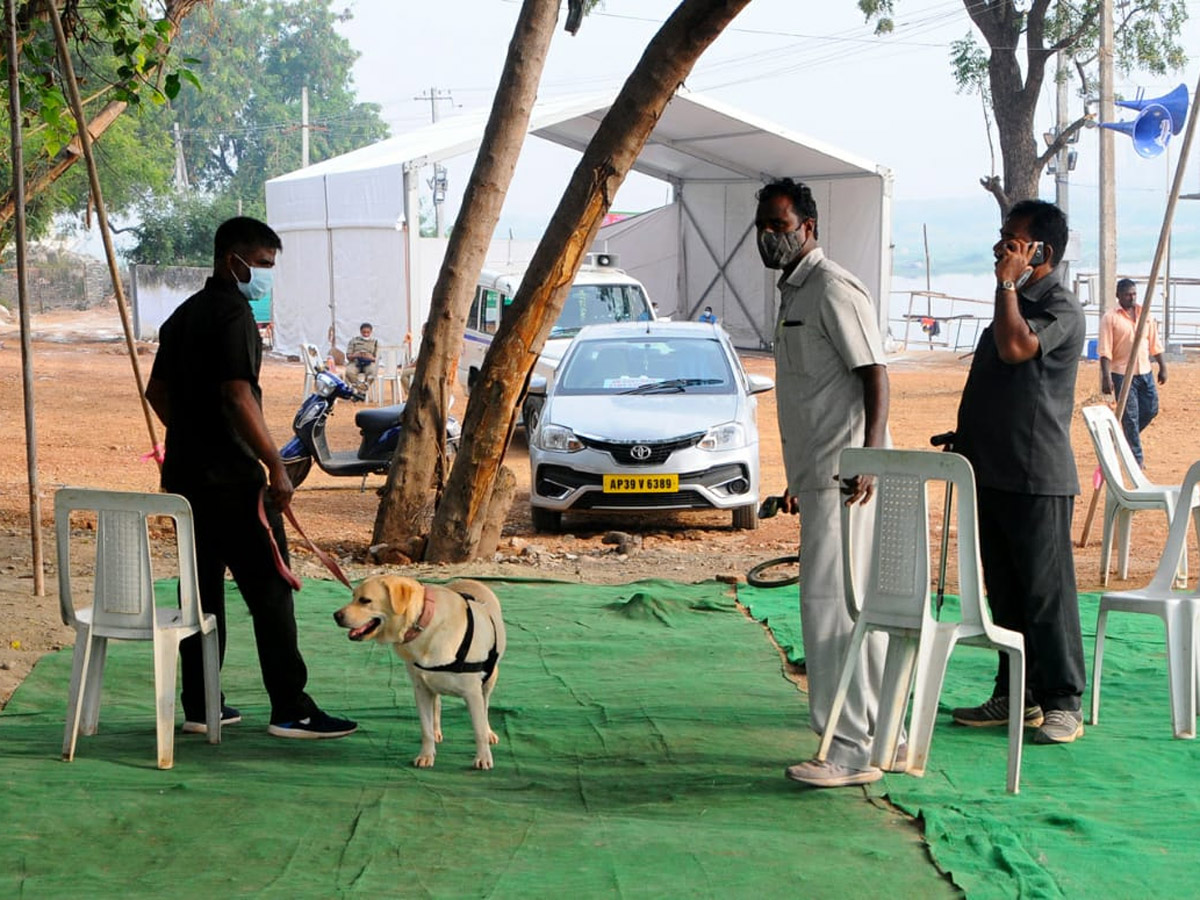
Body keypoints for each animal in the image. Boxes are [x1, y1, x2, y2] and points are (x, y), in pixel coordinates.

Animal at [336, 578, 504, 768]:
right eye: (353, 596)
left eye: (365, 600)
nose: (335, 615)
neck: (425, 624)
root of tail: (472, 580)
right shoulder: (421, 689)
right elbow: (426, 729)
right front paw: (426, 755)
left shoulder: (472, 693)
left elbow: (479, 729)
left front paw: (483, 757)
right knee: (437, 705)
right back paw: (437, 731)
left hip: (490, 680)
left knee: (485, 707)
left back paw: (489, 733)